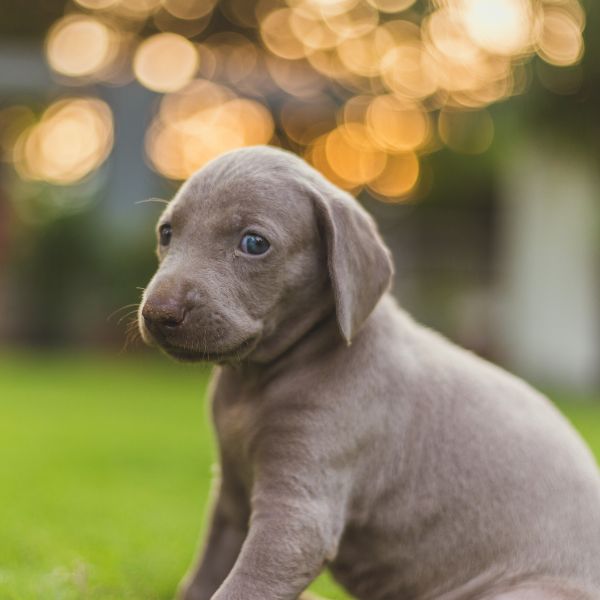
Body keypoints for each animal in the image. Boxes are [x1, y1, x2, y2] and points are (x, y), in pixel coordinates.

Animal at [138, 146, 600, 600]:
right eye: (167, 233)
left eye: (254, 243)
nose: (158, 313)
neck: (256, 382)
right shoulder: (232, 499)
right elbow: (202, 578)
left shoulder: (299, 512)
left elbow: (245, 586)